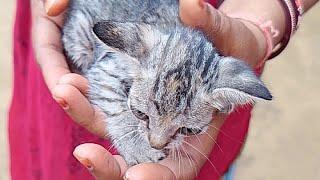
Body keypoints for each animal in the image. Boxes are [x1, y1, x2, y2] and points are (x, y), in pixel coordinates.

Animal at [61, 0, 272, 166]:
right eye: (139, 113)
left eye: (188, 130)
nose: (155, 143)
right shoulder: (105, 69)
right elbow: (117, 105)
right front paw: (138, 147)